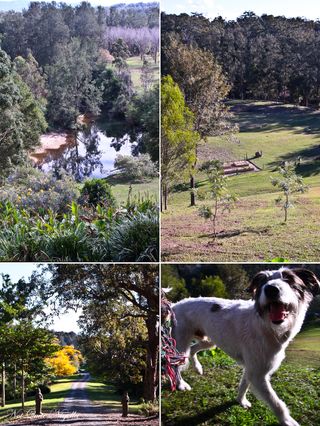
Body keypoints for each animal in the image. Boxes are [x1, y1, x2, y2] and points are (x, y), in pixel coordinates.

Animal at [172, 268, 320, 426]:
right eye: (262, 281)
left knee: (193, 350)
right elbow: (276, 403)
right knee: (175, 365)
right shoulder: (258, 375)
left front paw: (240, 400)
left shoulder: (252, 368)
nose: (271, 289)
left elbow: (244, 384)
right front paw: (287, 421)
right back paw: (181, 384)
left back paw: (198, 368)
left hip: (209, 341)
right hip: (181, 344)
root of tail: (175, 304)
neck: (267, 326)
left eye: (289, 278)